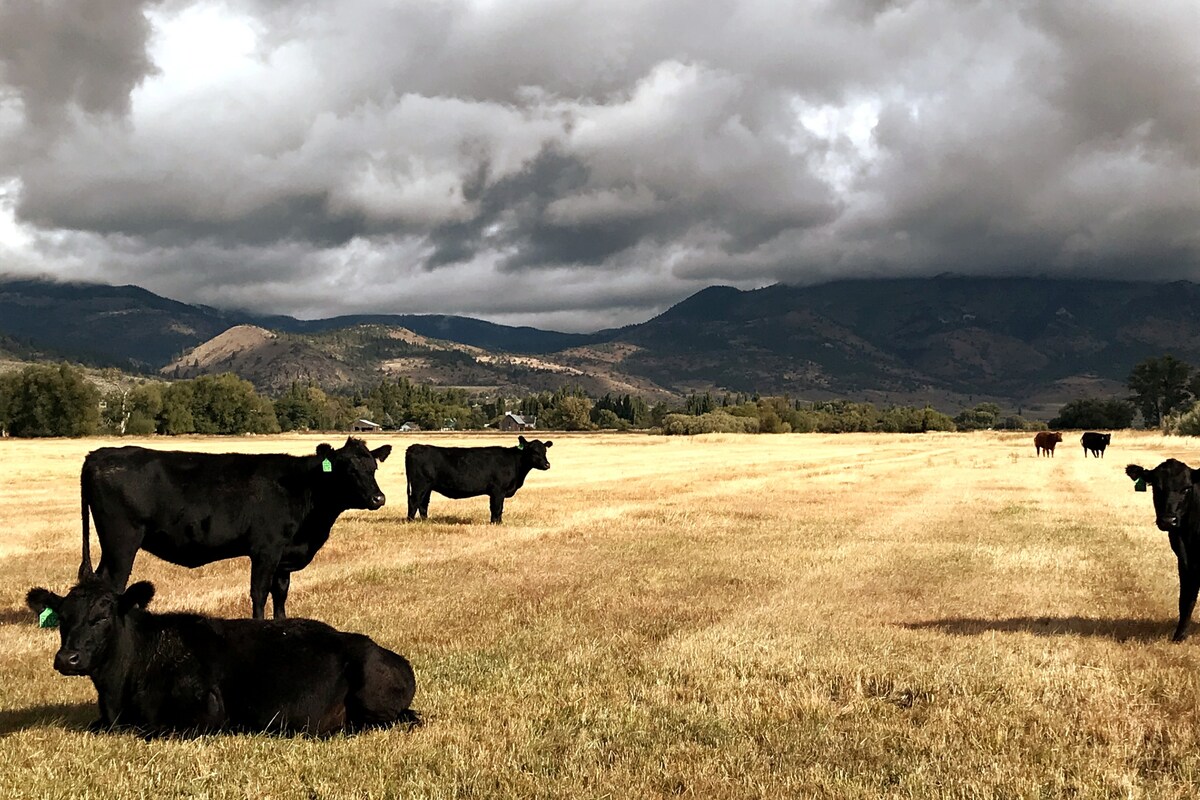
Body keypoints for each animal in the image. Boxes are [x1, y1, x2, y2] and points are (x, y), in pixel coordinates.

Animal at [76, 438, 393, 618]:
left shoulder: (284, 557)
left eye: (373, 467)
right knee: (111, 584)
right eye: (348, 469)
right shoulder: (265, 550)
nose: (379, 498)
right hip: (122, 542)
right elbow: (259, 593)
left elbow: (280, 595)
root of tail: (97, 455)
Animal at [403, 438, 552, 525]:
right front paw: (495, 524)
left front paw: (499, 523)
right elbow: (496, 508)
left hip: (427, 487)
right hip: (419, 485)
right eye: (533, 451)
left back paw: (425, 522)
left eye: (545, 451)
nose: (547, 464)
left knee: (423, 504)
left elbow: (499, 508)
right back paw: (410, 522)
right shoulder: (498, 490)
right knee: (413, 501)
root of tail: (414, 447)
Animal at [1123, 460, 1200, 642]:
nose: (1168, 520)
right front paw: (1179, 636)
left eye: (1187, 488)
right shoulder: (1184, 561)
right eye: (1156, 487)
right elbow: (1186, 599)